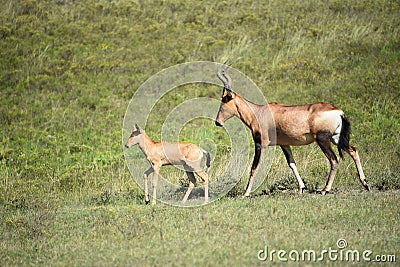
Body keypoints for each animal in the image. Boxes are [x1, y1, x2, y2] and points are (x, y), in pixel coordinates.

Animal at [214, 63, 370, 197]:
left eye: (223, 101)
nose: (217, 122)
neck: (259, 112)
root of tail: (338, 112)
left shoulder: (260, 144)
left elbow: (254, 167)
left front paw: (245, 193)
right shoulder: (285, 144)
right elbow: (292, 164)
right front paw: (301, 188)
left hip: (323, 139)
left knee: (334, 160)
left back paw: (325, 189)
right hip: (336, 138)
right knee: (353, 150)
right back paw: (365, 184)